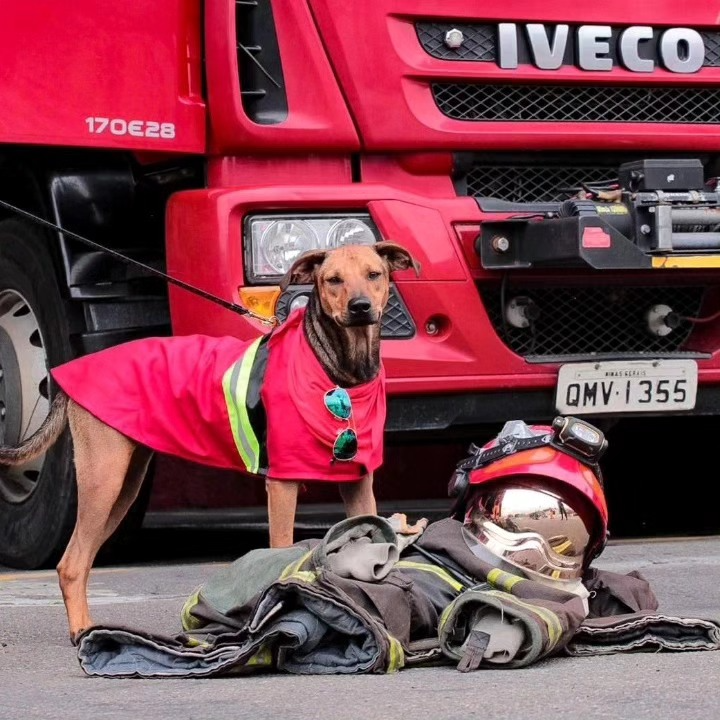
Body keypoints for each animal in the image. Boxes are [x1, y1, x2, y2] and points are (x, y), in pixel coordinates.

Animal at [0, 242, 420, 640]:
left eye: (374, 274)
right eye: (333, 280)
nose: (360, 307)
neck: (339, 371)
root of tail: (71, 373)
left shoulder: (359, 487)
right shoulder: (282, 486)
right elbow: (280, 553)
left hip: (122, 489)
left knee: (81, 558)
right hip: (103, 480)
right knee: (71, 563)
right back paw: (81, 631)